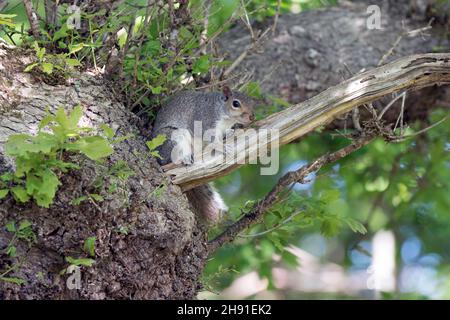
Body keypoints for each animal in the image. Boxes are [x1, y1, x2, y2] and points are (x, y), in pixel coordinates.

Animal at [152, 86, 255, 224]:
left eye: (252, 102)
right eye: (236, 103)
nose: (252, 117)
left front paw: (230, 132)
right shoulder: (204, 119)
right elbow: (209, 137)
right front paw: (221, 147)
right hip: (174, 138)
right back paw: (185, 158)